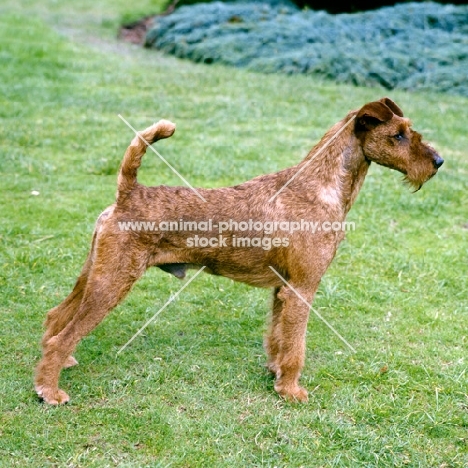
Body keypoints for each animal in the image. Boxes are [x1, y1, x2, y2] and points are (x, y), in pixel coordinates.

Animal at [35, 97, 442, 404]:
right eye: (398, 135)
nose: (438, 161)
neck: (319, 188)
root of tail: (128, 194)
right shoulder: (302, 288)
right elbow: (295, 346)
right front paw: (291, 390)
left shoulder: (282, 289)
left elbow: (278, 338)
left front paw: (275, 374)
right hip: (113, 281)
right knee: (61, 334)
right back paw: (50, 391)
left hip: (94, 273)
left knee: (56, 317)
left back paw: (58, 367)